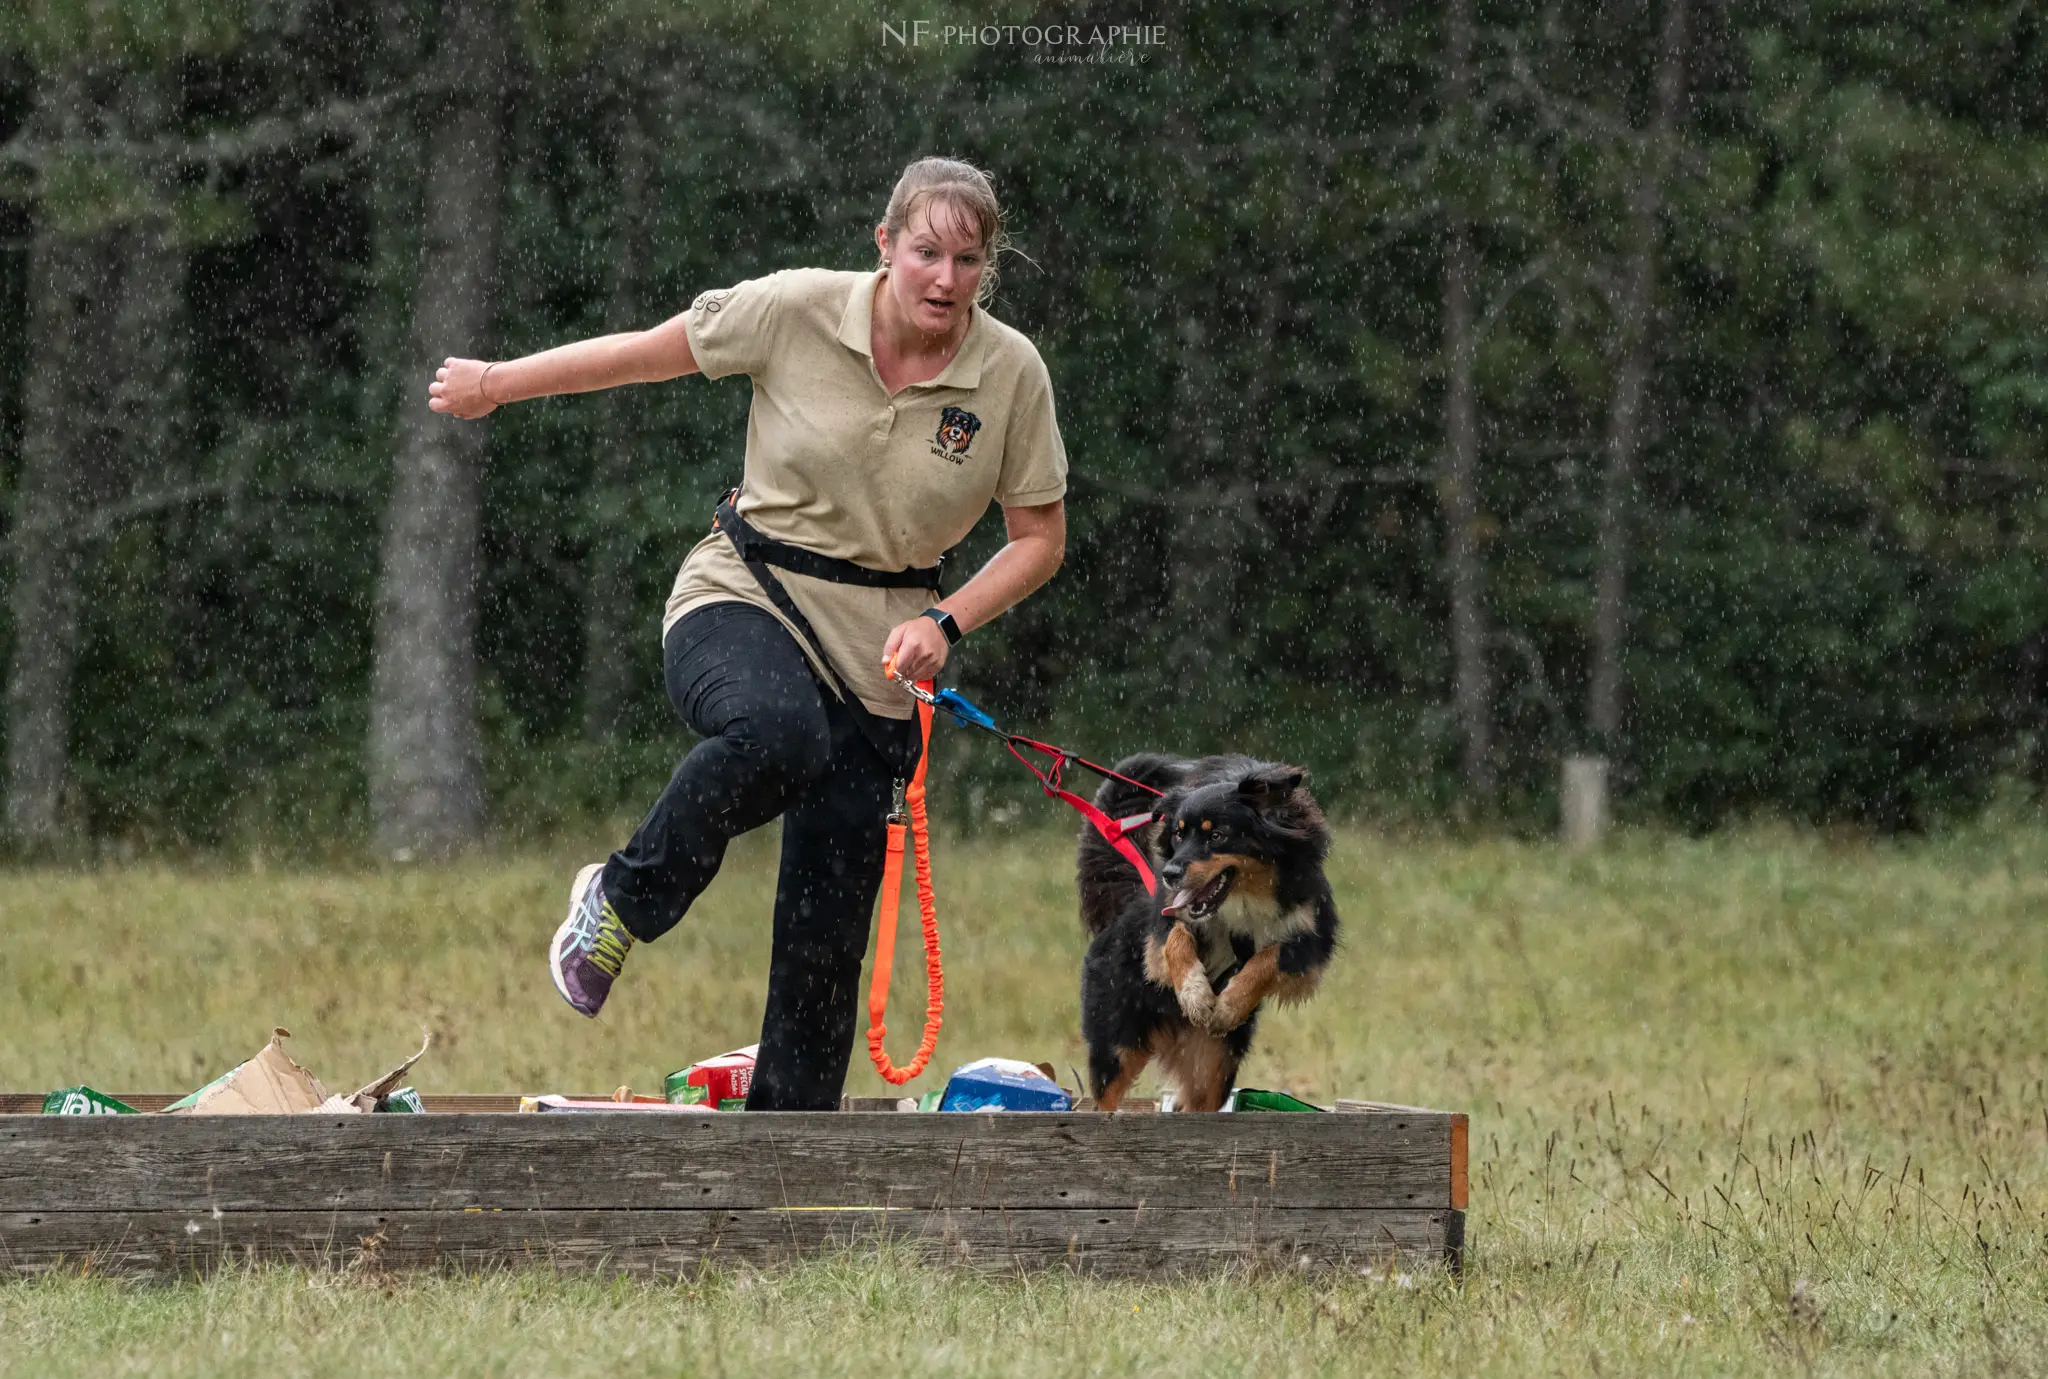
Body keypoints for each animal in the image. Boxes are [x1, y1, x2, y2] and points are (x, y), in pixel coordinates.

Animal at [1073, 754, 1343, 1106]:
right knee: (1104, 1095)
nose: (1170, 874)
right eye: (1177, 835)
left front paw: (1228, 1006)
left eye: (1216, 836)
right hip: (1116, 1040)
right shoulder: (1164, 926)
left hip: (1214, 1063)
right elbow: (1176, 940)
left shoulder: (1311, 941)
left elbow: (1269, 956)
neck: (1243, 898)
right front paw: (1196, 996)